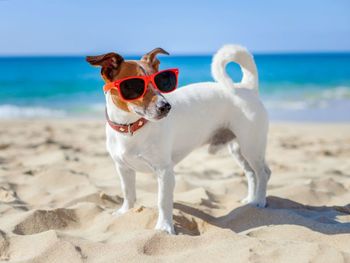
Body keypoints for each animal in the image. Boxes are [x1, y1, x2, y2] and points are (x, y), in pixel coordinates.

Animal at [87, 45, 270, 235]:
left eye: (160, 80)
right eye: (133, 85)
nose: (166, 106)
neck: (132, 128)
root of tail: (245, 87)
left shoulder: (164, 171)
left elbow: (163, 201)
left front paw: (164, 227)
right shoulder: (123, 168)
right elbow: (128, 192)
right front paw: (125, 212)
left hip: (251, 147)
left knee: (263, 173)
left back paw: (259, 201)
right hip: (238, 149)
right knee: (251, 173)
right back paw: (250, 199)